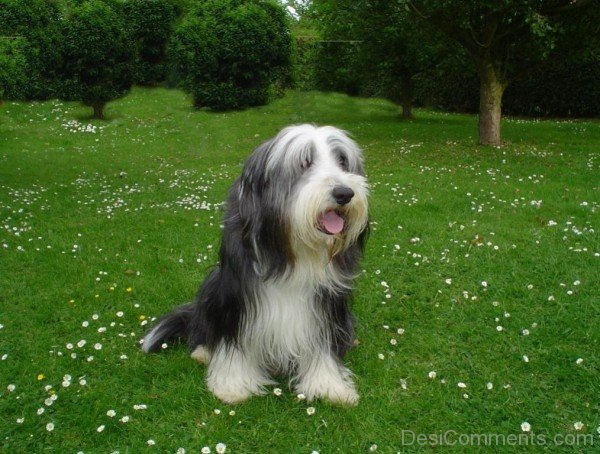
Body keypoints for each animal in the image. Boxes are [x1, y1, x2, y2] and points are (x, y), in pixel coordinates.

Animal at [143, 124, 368, 404]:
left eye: (342, 161)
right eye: (305, 162)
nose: (344, 193)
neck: (295, 252)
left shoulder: (327, 303)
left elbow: (322, 346)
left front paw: (328, 385)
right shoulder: (238, 298)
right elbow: (234, 342)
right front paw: (233, 384)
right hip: (212, 284)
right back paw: (204, 351)